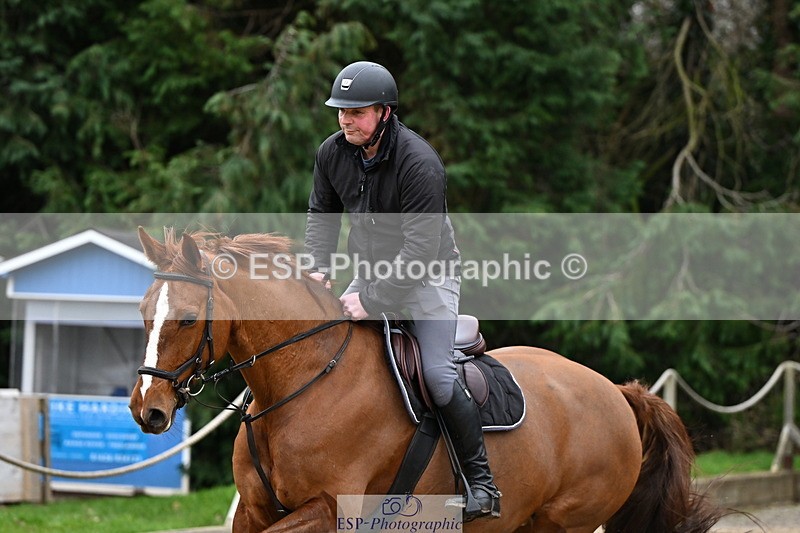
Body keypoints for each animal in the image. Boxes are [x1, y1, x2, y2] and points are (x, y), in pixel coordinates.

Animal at [128, 228, 721, 533]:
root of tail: (616, 391)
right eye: (142, 311)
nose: (146, 409)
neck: (303, 384)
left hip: (563, 524)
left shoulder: (327, 509)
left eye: (187, 319)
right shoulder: (253, 512)